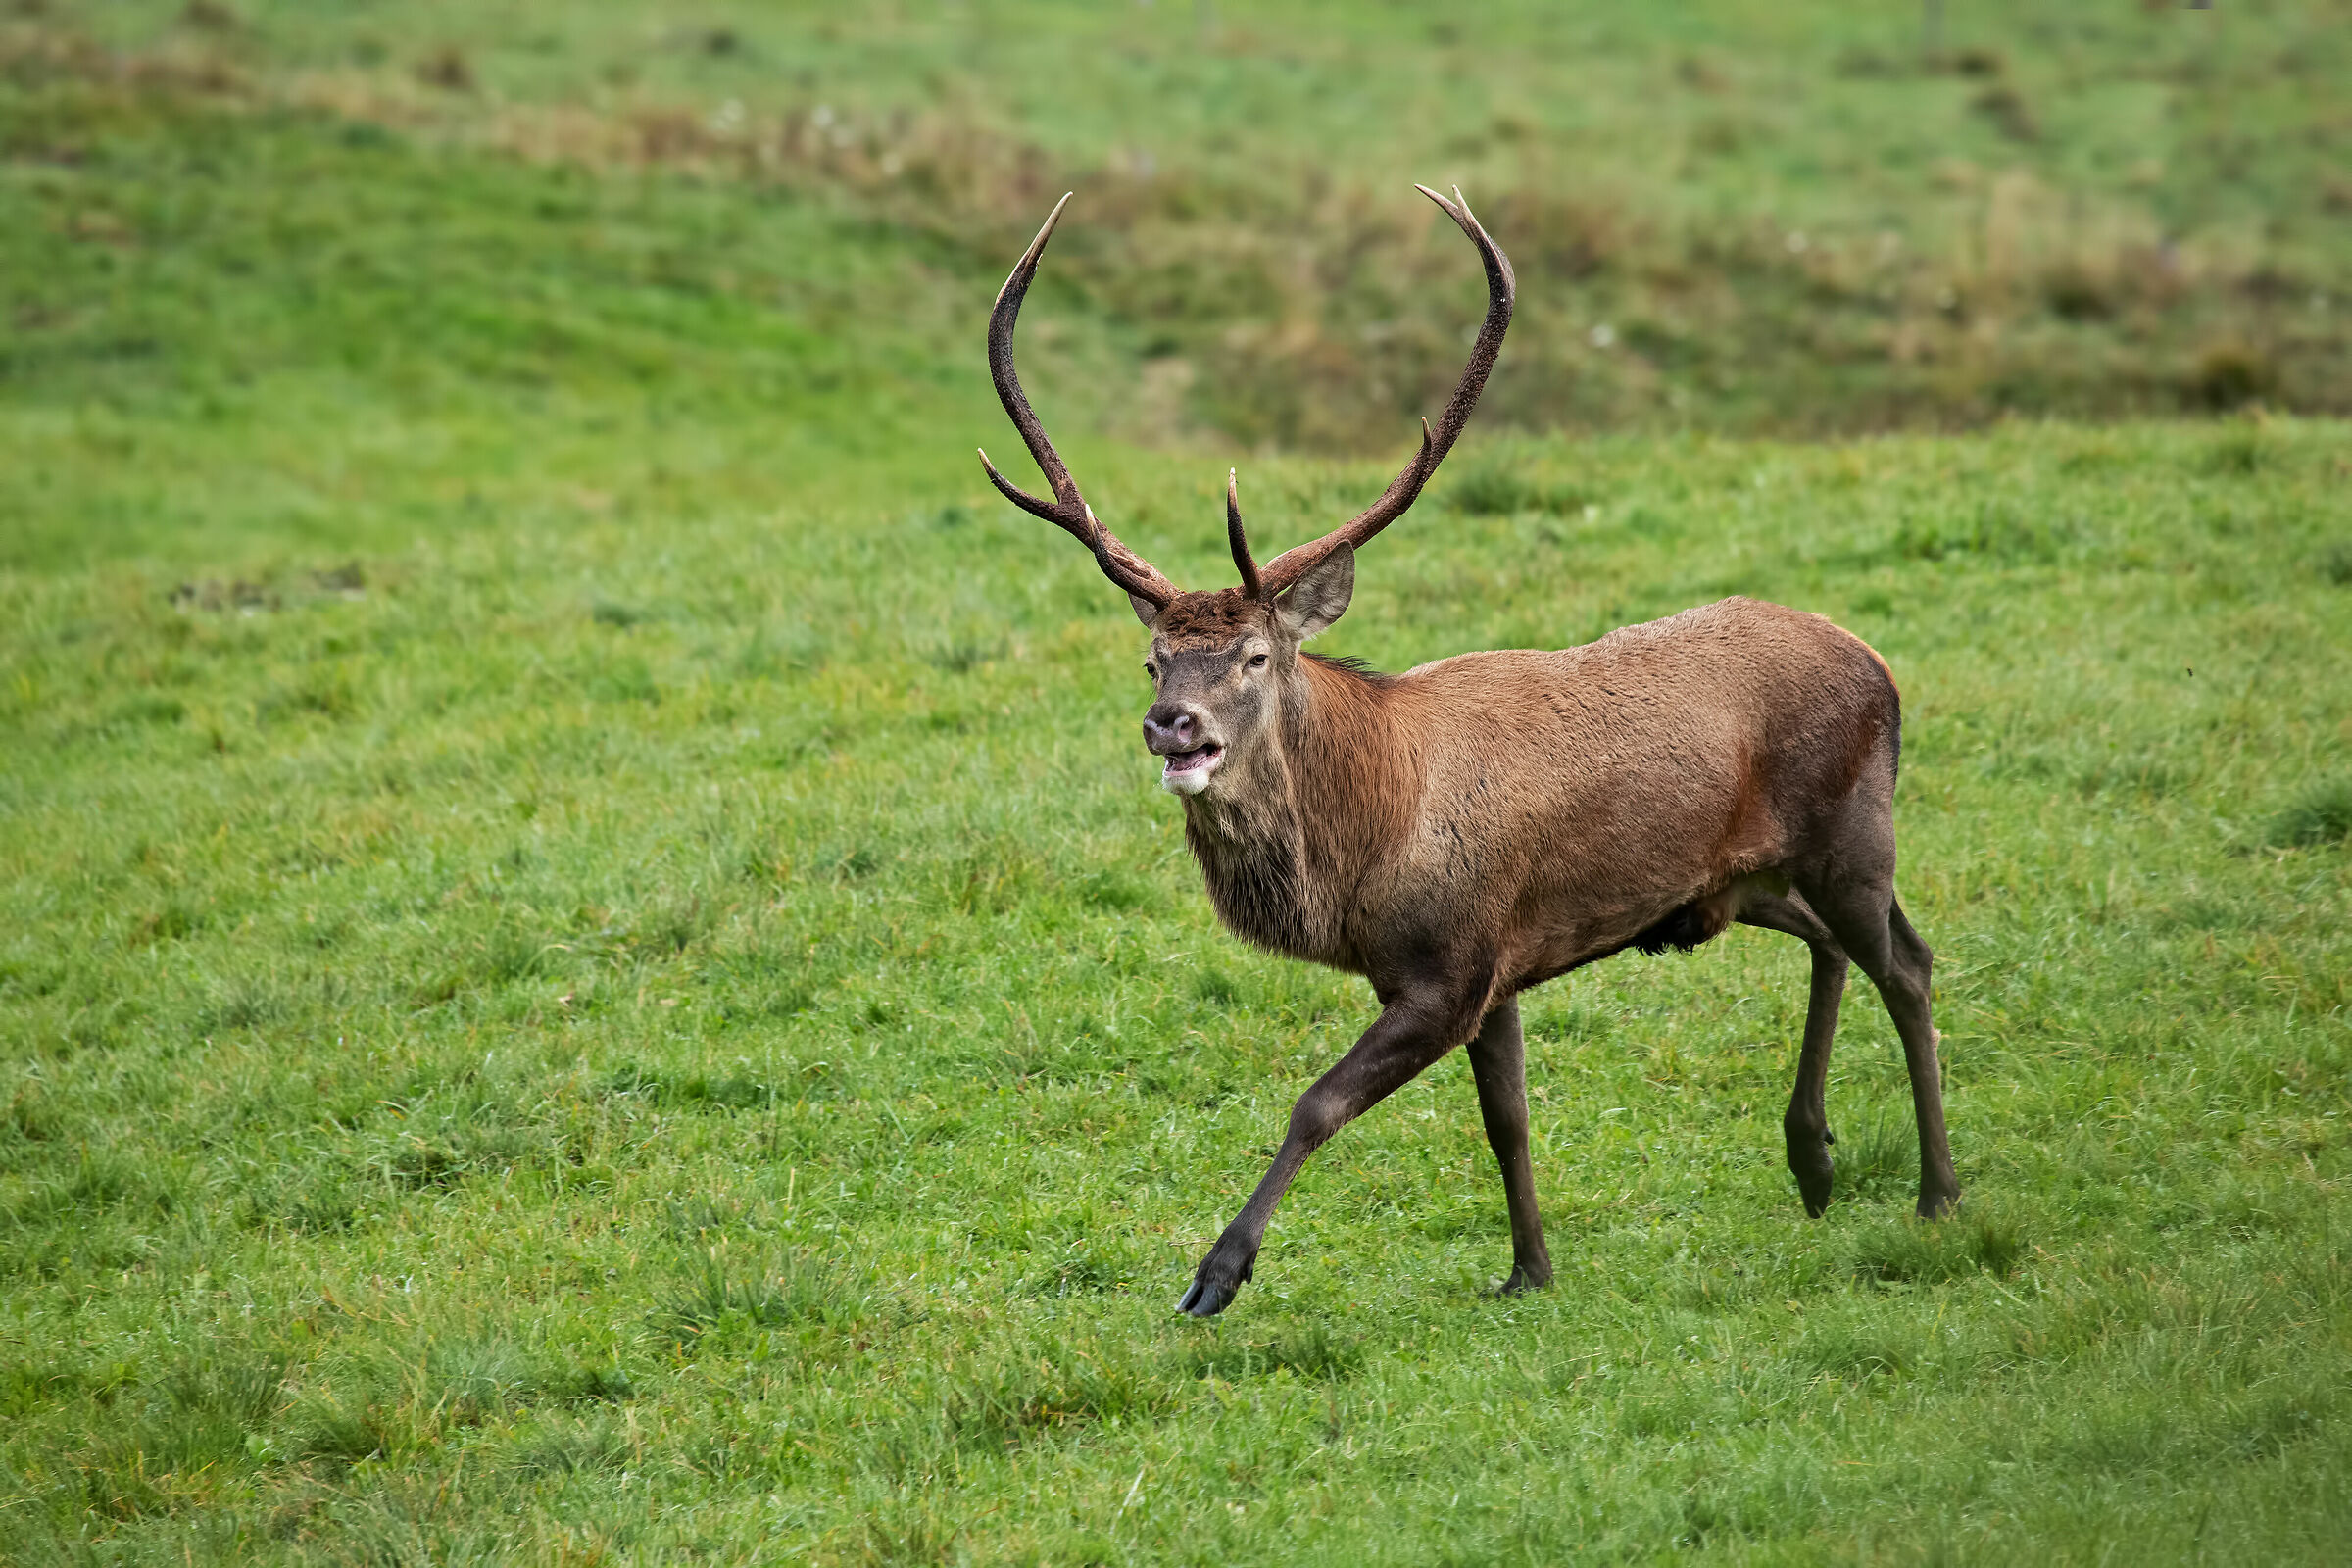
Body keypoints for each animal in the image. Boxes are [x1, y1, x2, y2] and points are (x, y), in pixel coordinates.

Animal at [976, 187, 1959, 1319]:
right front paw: (1529, 1267)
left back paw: (1937, 1192)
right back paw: (1814, 1161)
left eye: (1256, 655)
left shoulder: (1451, 966)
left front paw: (1217, 1273)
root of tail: (1880, 664)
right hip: (1734, 881)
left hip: (1855, 833)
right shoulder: (1493, 970)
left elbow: (1317, 1104)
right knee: (1833, 944)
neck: (1363, 859)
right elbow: (1507, 1119)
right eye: (1153, 659)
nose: (1172, 724)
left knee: (1909, 966)